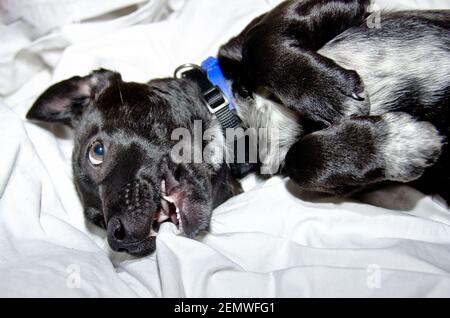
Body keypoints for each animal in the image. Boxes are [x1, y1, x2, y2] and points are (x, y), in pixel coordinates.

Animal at [26, 0, 448, 255]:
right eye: (97, 221)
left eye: (96, 152)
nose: (118, 238)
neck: (235, 117)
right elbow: (304, 160)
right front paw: (397, 145)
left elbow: (260, 45)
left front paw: (332, 94)